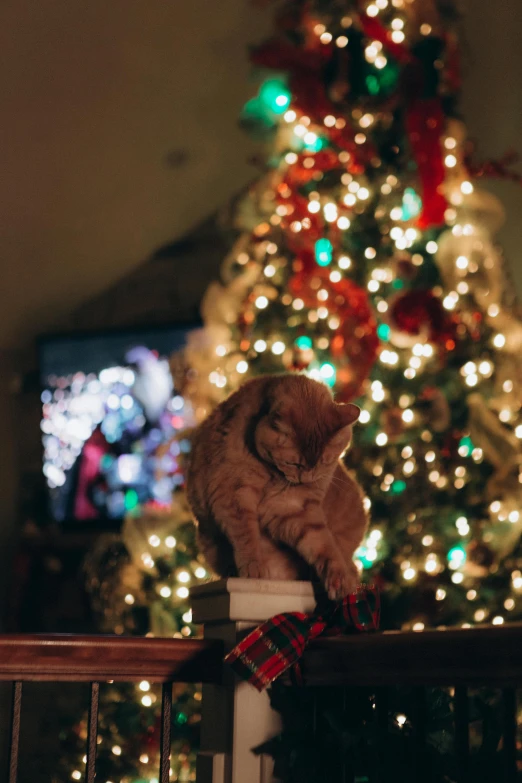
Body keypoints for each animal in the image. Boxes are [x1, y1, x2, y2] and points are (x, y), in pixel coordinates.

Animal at [186, 374, 366, 600]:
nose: (307, 477)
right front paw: (254, 568)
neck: (271, 475)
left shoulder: (293, 508)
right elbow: (247, 537)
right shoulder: (233, 496)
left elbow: (322, 544)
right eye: (294, 464)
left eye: (325, 461)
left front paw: (338, 578)